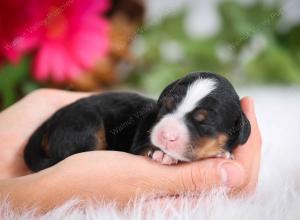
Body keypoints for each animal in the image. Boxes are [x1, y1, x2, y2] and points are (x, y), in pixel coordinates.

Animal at [23, 72, 250, 172]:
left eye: (205, 123)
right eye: (166, 107)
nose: (166, 135)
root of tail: (52, 119)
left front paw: (222, 152)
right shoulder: (138, 143)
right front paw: (162, 154)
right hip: (85, 126)